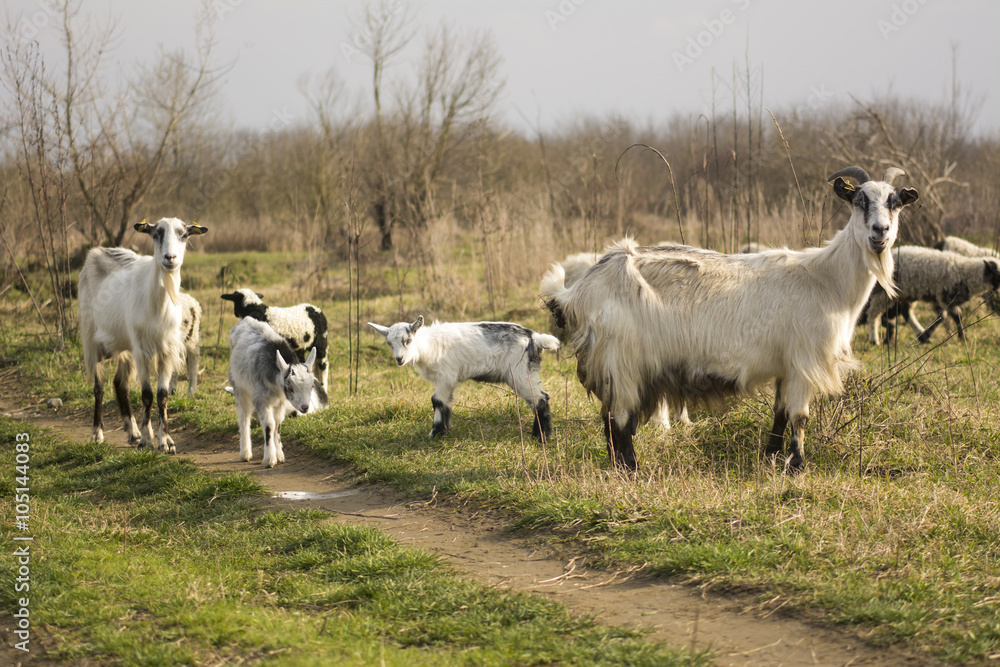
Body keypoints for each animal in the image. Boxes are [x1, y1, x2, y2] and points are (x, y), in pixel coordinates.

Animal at [78, 218, 208, 451]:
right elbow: (146, 394)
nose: (170, 258)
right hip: (91, 339)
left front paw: (166, 441)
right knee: (98, 387)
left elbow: (162, 395)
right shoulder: (142, 351)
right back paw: (97, 434)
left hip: (125, 346)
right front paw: (148, 440)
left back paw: (132, 432)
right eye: (156, 234)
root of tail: (98, 251)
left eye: (184, 235)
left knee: (120, 384)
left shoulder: (166, 351)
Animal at [228, 317, 325, 468]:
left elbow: (277, 423)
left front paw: (279, 455)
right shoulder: (261, 399)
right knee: (244, 416)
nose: (305, 407)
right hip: (239, 386)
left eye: (311, 387)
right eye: (291, 388)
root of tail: (245, 320)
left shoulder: (280, 401)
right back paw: (245, 453)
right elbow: (269, 425)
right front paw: (270, 459)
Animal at [368, 317, 559, 441]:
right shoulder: (448, 380)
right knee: (539, 398)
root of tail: (535, 338)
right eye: (389, 343)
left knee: (539, 399)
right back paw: (536, 434)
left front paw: (435, 433)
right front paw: (445, 428)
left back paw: (543, 437)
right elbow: (446, 402)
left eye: (408, 340)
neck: (427, 345)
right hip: (527, 372)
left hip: (518, 372)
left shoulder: (447, 376)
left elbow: (436, 400)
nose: (399, 359)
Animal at [541, 166, 918, 472]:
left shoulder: (786, 366)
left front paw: (771, 457)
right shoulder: (803, 362)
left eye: (896, 202)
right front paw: (797, 466)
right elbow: (800, 417)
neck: (827, 279)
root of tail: (578, 290)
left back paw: (618, 468)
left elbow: (780, 414)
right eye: (858, 199)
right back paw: (631, 469)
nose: (880, 232)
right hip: (621, 360)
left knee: (608, 419)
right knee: (618, 419)